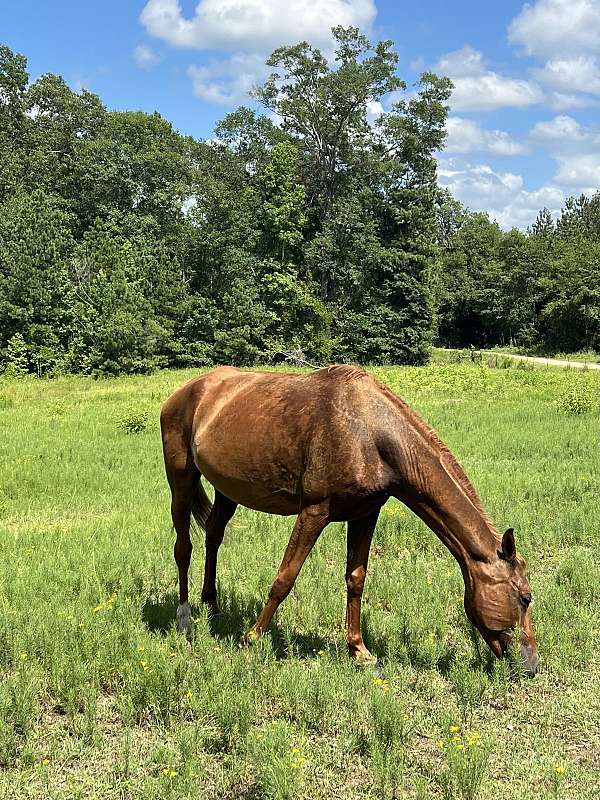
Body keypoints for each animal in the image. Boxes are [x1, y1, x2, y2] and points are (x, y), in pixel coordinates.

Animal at [161, 366, 540, 680]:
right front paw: (251, 638)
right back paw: (184, 620)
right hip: (181, 479)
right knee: (184, 546)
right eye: (525, 598)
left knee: (213, 535)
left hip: (228, 490)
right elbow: (284, 578)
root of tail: (183, 392)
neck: (369, 432)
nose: (531, 667)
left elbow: (356, 580)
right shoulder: (314, 511)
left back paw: (212, 606)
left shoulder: (365, 514)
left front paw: (359, 651)